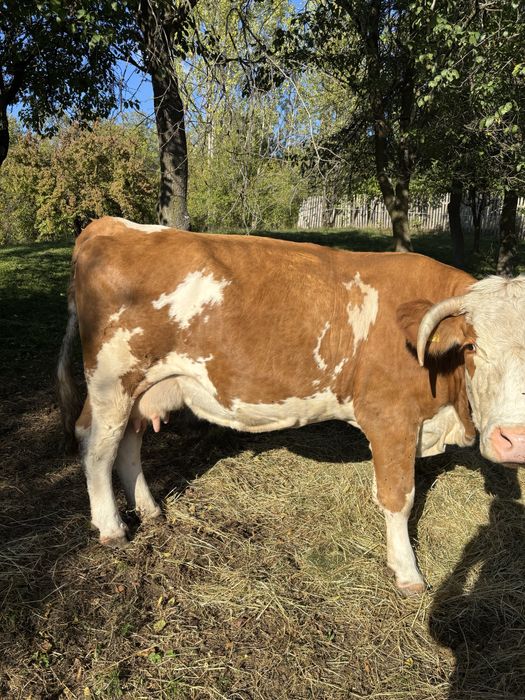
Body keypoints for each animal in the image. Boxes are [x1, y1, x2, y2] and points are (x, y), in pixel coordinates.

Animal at [57, 216, 525, 595]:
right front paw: (408, 573)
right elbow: (399, 498)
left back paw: (150, 510)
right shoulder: (389, 418)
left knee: (129, 444)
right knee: (98, 446)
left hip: (146, 388)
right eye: (472, 347)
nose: (514, 439)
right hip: (112, 382)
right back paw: (112, 527)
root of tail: (110, 225)